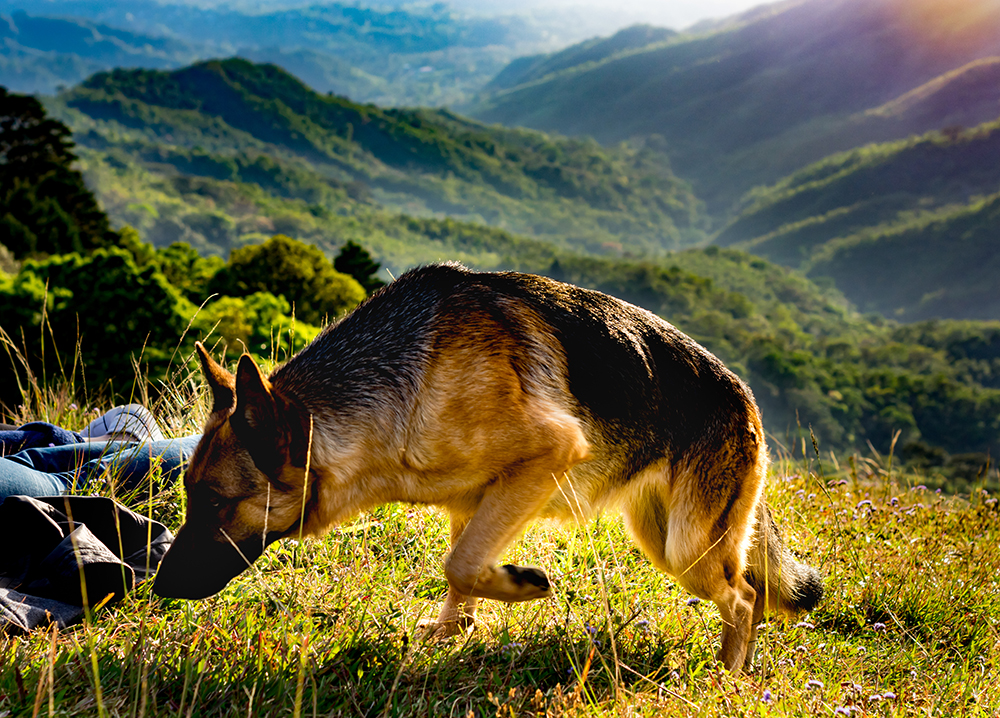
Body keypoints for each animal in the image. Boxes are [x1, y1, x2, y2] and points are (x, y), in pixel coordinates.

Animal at [152, 264, 816, 676]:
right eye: (190, 495)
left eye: (217, 503)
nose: (156, 588)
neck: (404, 382)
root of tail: (746, 400)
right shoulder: (470, 504)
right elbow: (461, 574)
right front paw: (448, 635)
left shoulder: (546, 459)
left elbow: (462, 565)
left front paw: (520, 586)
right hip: (660, 534)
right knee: (749, 593)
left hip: (686, 547)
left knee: (744, 597)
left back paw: (726, 678)